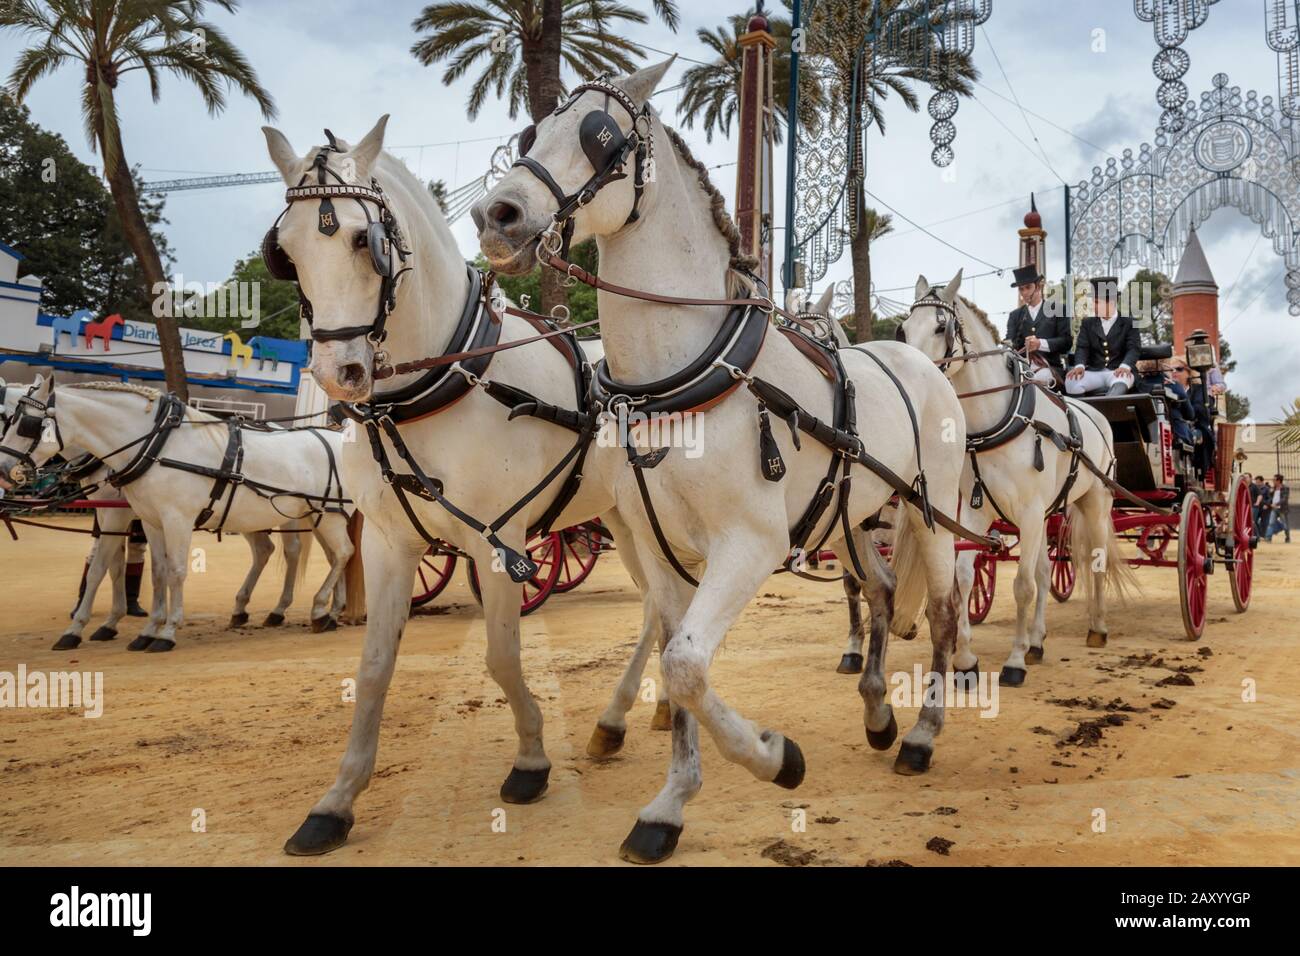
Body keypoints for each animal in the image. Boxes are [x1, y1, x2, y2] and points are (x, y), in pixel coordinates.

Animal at [0, 377, 353, 655]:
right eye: (11, 418)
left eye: (24, 424)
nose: (4, 470)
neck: (153, 445)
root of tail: (336, 436)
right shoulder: (148, 520)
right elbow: (146, 571)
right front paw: (142, 629)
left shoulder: (171, 519)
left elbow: (173, 571)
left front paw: (166, 632)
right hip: (304, 514)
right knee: (318, 554)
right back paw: (326, 610)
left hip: (325, 514)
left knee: (337, 553)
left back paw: (317, 609)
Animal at [262, 115, 665, 858]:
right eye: (287, 251)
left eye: (364, 240)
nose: (340, 375)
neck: (438, 385)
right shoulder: (389, 544)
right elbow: (372, 669)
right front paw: (336, 802)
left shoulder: (498, 543)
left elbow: (503, 657)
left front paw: (531, 760)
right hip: (623, 520)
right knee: (659, 607)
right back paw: (623, 719)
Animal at [473, 61, 972, 868]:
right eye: (529, 133)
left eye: (601, 138)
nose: (498, 216)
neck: (684, 377)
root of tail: (917, 361)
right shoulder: (661, 551)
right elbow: (676, 665)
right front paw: (670, 805)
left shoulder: (751, 544)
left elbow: (684, 665)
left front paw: (776, 758)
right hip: (849, 512)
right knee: (881, 586)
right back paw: (876, 713)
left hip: (931, 507)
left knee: (945, 607)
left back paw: (923, 734)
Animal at [889, 283, 1133, 681]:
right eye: (904, 330)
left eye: (942, 328)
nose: (913, 376)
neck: (998, 420)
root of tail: (1096, 414)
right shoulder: (977, 513)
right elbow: (965, 577)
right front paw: (965, 658)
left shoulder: (1030, 513)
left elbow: (1022, 586)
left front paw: (1014, 661)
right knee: (1046, 572)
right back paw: (1037, 641)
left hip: (1095, 504)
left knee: (1095, 561)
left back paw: (1097, 628)